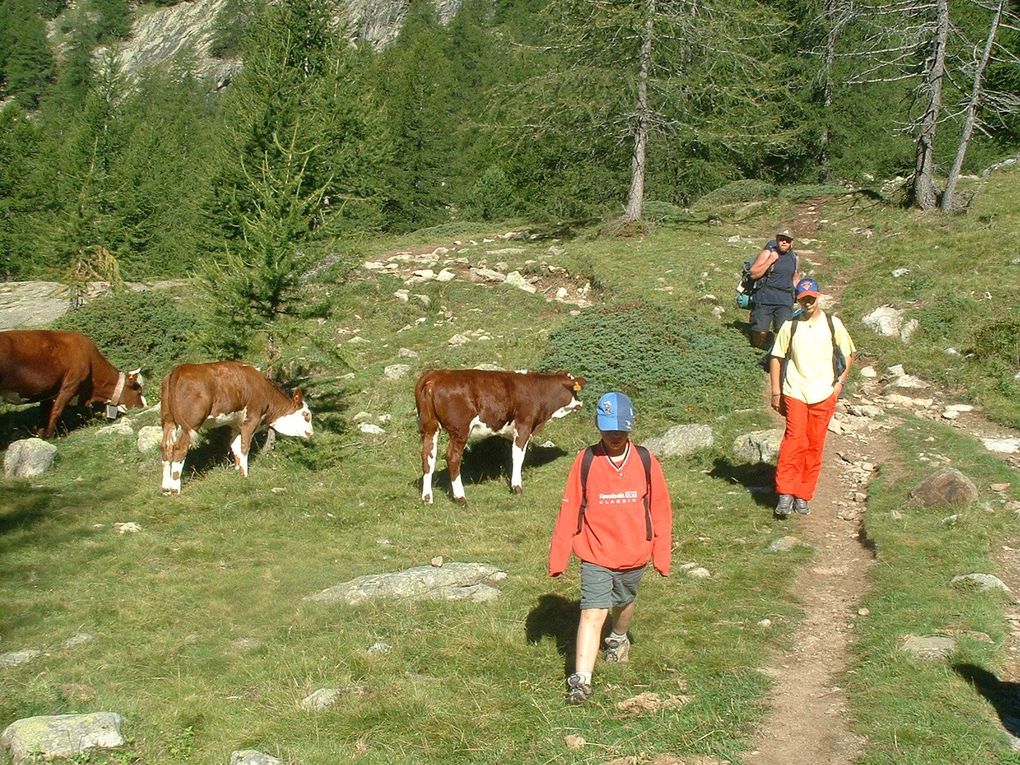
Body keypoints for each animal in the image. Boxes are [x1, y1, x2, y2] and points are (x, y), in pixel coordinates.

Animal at [0, 328, 145, 436]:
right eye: (138, 391)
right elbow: (56, 411)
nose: (145, 405)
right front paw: (49, 436)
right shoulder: (70, 386)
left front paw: (41, 435)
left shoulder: (48, 392)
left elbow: (44, 414)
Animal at [156, 361, 310, 497]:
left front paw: (238, 472)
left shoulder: (235, 425)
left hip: (168, 420)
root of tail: (179, 369)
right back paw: (175, 489)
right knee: (179, 449)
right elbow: (244, 447)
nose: (311, 433)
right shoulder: (251, 419)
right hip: (191, 422)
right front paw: (245, 475)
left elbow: (235, 447)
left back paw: (165, 489)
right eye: (307, 415)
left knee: (166, 448)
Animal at [414, 369, 587, 505]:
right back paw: (460, 497)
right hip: (460, 430)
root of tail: (436, 375)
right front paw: (517, 487)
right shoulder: (524, 426)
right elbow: (518, 456)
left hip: (430, 427)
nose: (581, 403)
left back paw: (427, 498)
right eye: (575, 391)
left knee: (427, 457)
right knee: (452, 457)